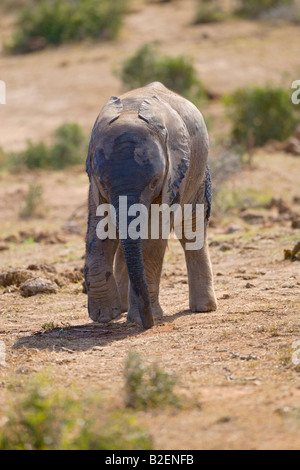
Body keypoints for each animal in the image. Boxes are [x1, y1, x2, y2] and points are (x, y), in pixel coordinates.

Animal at [85, 81, 217, 330]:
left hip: (197, 170)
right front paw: (104, 315)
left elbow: (154, 234)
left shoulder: (172, 177)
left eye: (155, 181)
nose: (148, 324)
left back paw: (204, 308)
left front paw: (141, 318)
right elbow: (100, 230)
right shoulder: (95, 186)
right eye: (103, 182)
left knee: (190, 231)